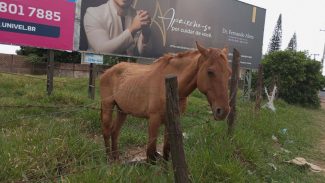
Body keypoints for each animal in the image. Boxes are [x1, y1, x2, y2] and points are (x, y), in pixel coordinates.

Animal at [98, 42, 230, 162]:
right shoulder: (154, 120)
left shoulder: (170, 121)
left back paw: (116, 159)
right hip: (107, 107)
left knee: (115, 132)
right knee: (106, 132)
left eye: (229, 73)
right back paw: (109, 159)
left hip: (122, 111)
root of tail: (107, 71)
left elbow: (166, 151)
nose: (223, 111)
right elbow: (151, 154)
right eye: (210, 71)